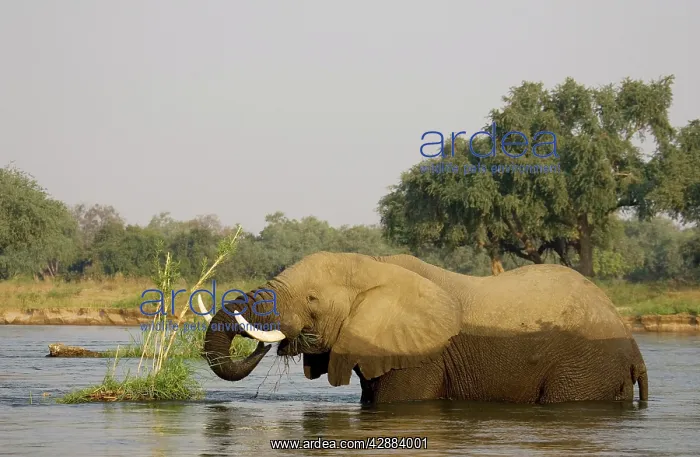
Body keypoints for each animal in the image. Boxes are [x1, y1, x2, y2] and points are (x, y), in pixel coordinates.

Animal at [203, 252, 648, 405]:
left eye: (311, 299)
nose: (260, 344)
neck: (375, 264)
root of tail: (634, 349)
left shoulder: (420, 358)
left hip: (584, 368)